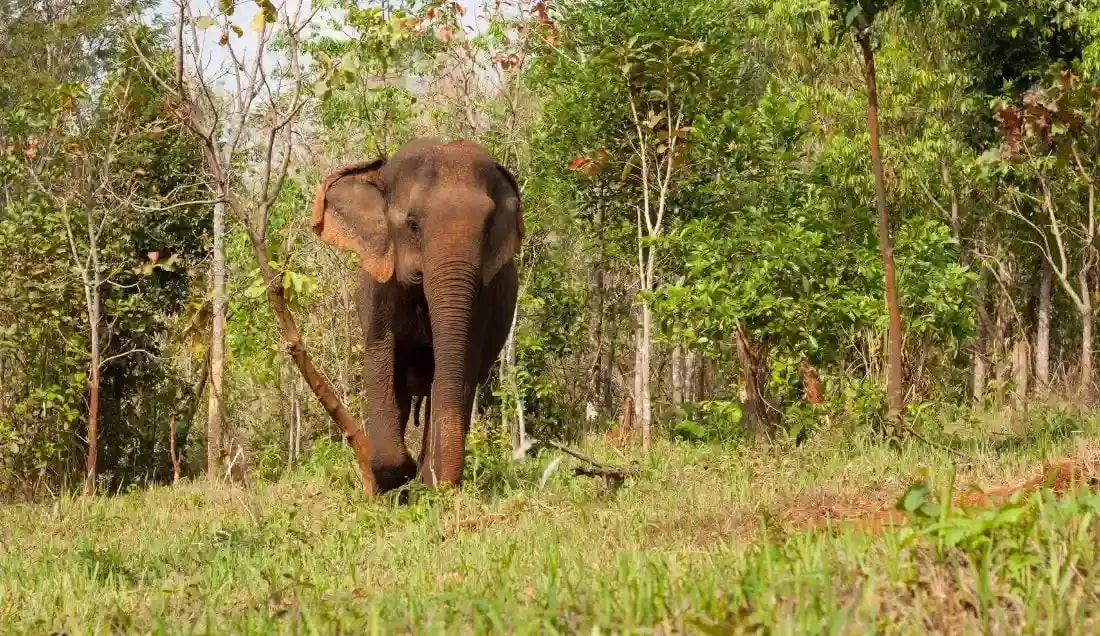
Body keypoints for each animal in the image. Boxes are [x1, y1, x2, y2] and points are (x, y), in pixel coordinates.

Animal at [311, 138, 522, 492]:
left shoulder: (483, 302)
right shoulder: (381, 292)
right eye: (413, 224)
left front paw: (424, 482)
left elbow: (459, 371)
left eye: (487, 227)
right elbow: (381, 362)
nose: (439, 481)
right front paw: (400, 475)